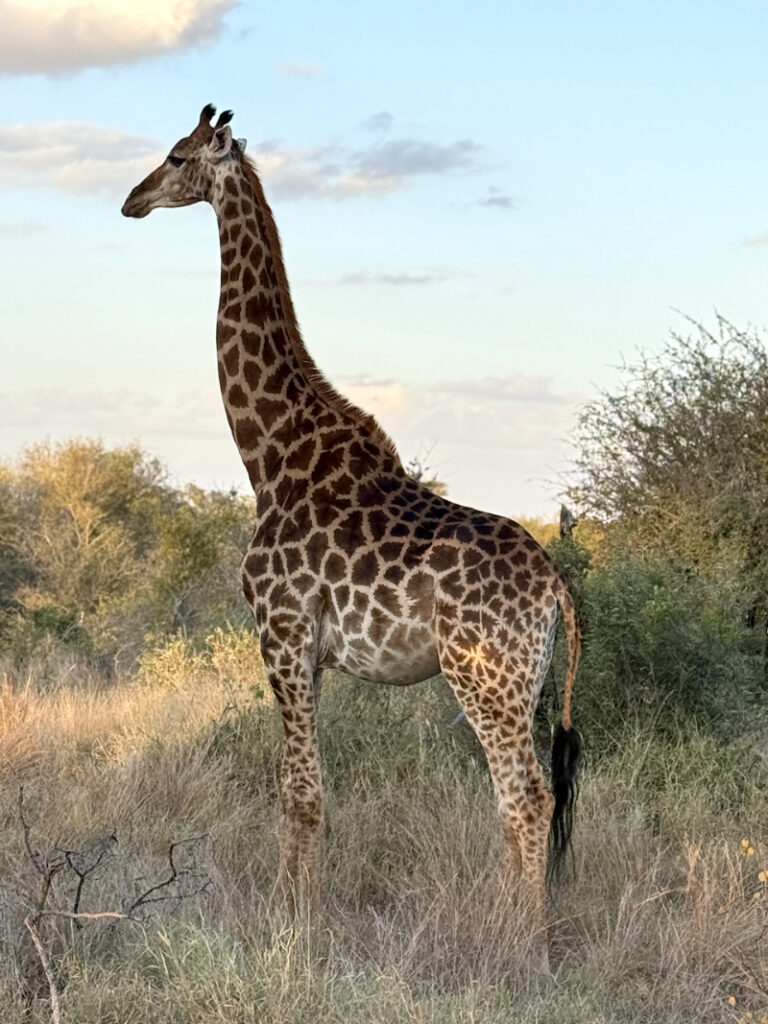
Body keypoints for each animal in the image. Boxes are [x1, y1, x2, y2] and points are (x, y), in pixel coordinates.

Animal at [122, 104, 582, 963]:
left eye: (174, 156)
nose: (131, 201)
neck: (270, 453)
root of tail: (557, 592)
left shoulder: (281, 629)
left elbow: (299, 792)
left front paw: (290, 925)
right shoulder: (313, 652)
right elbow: (306, 790)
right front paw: (305, 914)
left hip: (483, 677)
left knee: (525, 796)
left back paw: (525, 947)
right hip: (527, 683)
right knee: (521, 800)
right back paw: (512, 927)